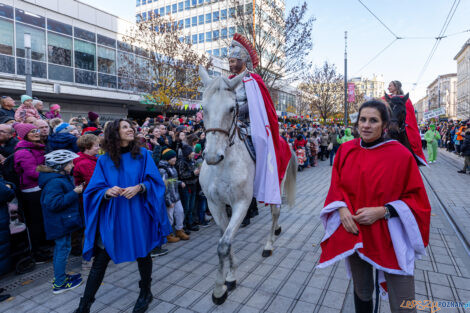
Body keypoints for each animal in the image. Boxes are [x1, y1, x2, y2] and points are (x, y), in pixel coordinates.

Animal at [199, 67, 298, 304]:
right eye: (203, 108)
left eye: (231, 108)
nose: (212, 157)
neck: (223, 165)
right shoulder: (214, 205)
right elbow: (224, 239)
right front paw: (230, 276)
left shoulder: (241, 204)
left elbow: (223, 245)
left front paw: (219, 288)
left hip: (275, 184)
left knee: (275, 212)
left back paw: (269, 244)